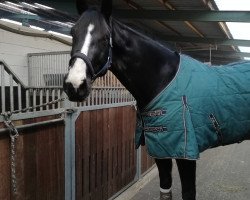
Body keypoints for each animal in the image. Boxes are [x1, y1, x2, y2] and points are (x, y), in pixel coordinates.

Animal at [63, 0, 250, 199]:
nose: (75, 85)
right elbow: (165, 188)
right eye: (73, 32)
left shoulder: (186, 152)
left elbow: (188, 192)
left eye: (106, 37)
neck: (163, 80)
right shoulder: (161, 150)